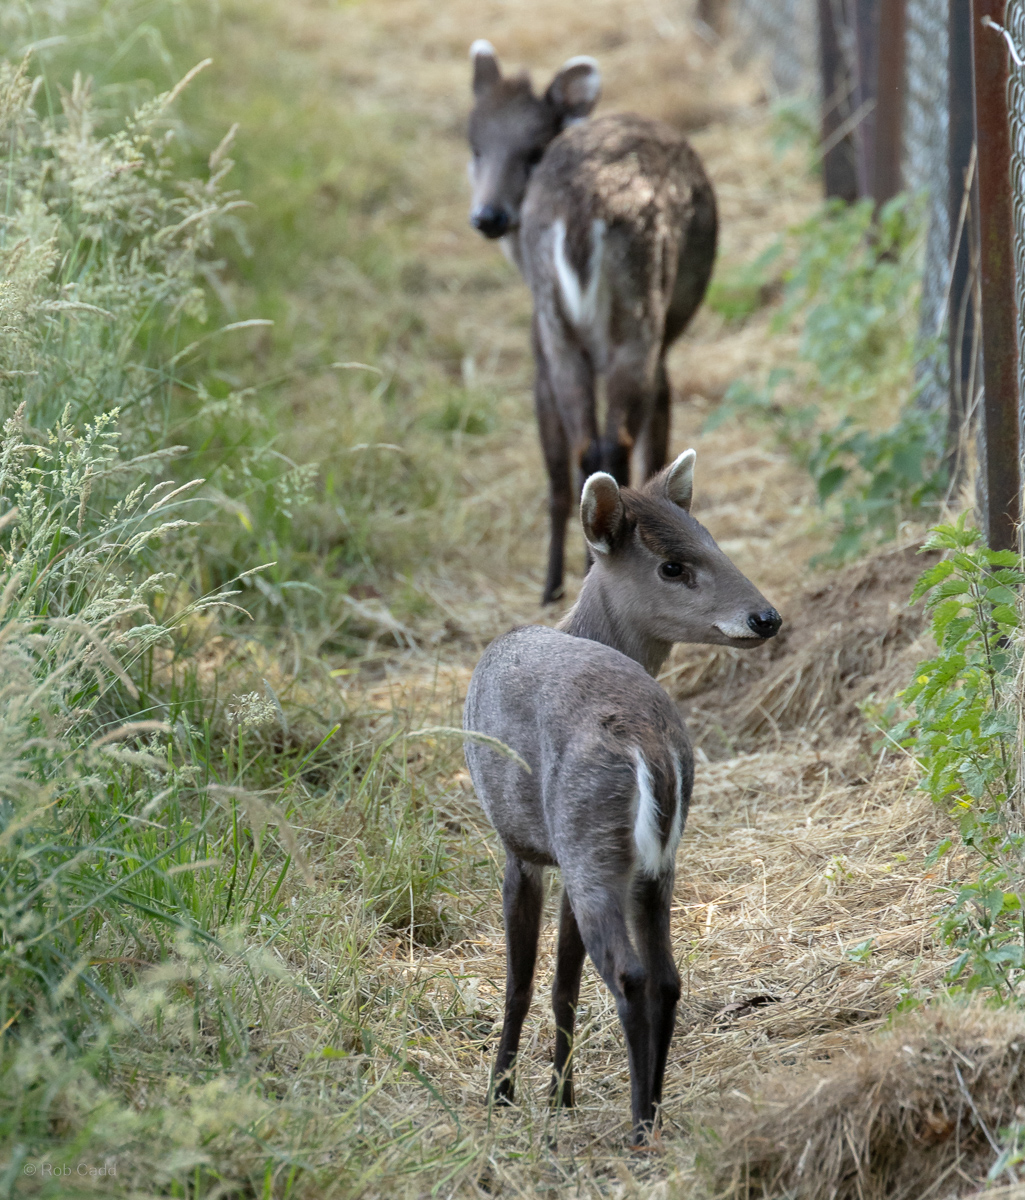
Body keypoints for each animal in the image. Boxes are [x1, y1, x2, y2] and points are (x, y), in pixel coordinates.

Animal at [463, 449, 781, 1147]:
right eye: (675, 563)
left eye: (709, 542)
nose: (766, 617)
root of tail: (650, 745)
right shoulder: (565, 858)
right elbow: (564, 982)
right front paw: (560, 1097)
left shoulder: (519, 844)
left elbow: (521, 981)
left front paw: (501, 1095)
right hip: (651, 866)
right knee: (665, 977)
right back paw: (651, 1111)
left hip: (591, 841)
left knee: (631, 977)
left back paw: (637, 1126)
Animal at [467, 41, 718, 605]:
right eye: (474, 145)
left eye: (533, 150)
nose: (488, 216)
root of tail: (585, 211)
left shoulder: (539, 345)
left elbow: (558, 472)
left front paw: (551, 584)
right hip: (634, 324)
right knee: (606, 444)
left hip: (592, 328)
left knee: (597, 448)